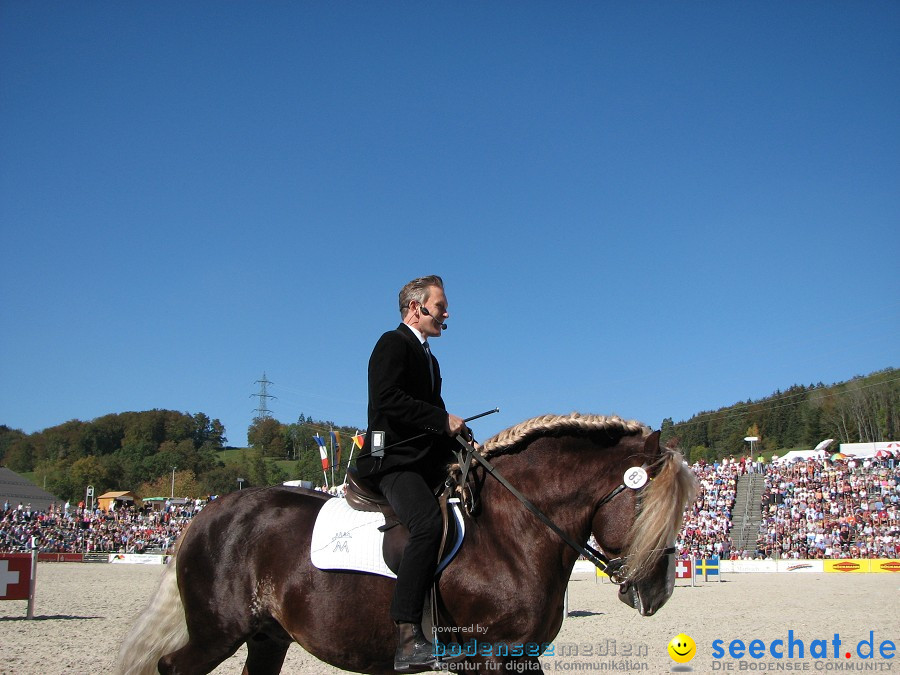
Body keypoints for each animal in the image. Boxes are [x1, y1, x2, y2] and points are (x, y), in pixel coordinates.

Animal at [116, 412, 700, 675]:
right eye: (649, 507)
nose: (660, 591)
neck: (512, 532)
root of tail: (206, 513)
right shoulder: (494, 653)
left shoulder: (514, 655)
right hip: (219, 631)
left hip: (265, 635)